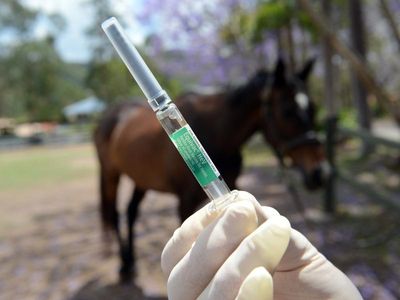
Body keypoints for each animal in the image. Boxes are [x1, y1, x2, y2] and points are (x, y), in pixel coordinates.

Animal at [95, 59, 326, 282]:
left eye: (314, 108)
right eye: (287, 112)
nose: (319, 173)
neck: (218, 132)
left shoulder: (232, 183)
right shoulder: (185, 200)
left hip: (141, 179)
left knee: (131, 212)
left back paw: (131, 262)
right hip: (110, 173)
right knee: (115, 214)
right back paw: (124, 265)